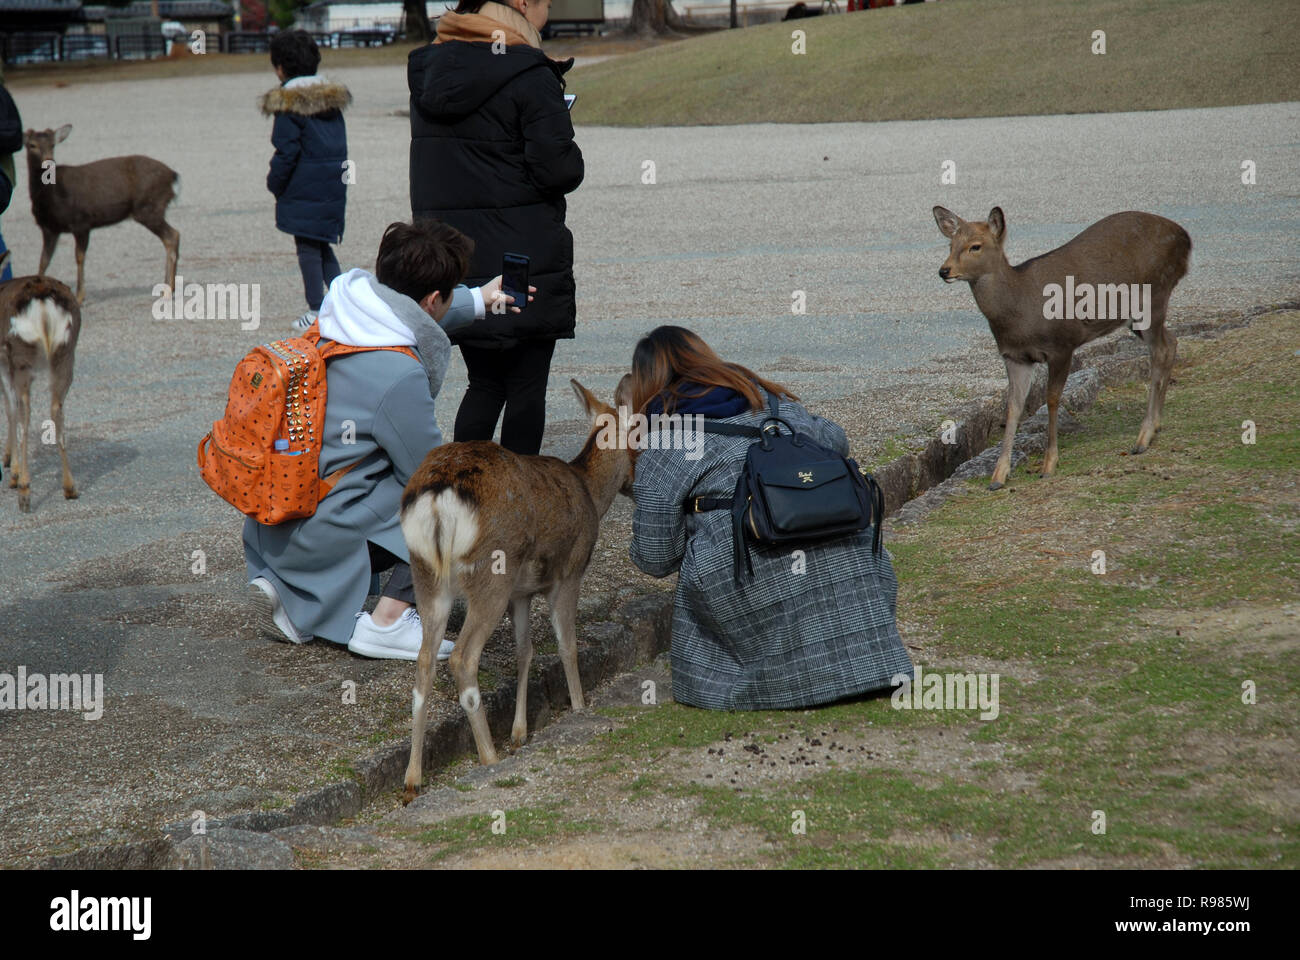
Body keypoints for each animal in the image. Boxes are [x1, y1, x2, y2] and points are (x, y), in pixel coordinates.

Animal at [0, 251, 81, 512]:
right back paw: (70, 487)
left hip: (21, 355)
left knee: (24, 412)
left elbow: (10, 409)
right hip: (66, 352)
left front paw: (12, 470)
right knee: (56, 407)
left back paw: (24, 491)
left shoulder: (3, 362)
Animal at [24, 124, 180, 303]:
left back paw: (168, 291)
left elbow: (79, 257)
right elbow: (43, 261)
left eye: (52, 145)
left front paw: (79, 297)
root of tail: (173, 176)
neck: (48, 194)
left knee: (173, 236)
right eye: (32, 145)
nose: (49, 162)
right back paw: (167, 289)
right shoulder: (49, 229)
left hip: (148, 208)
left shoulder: (81, 222)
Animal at [397, 374, 637, 790]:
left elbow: (525, 651)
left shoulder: (521, 594)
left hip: (426, 574)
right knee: (462, 657)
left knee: (425, 659)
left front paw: (519, 732)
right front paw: (579, 708)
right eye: (642, 434)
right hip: (492, 572)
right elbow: (567, 646)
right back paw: (488, 758)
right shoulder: (570, 571)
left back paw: (413, 778)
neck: (590, 491)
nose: (635, 482)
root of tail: (440, 494)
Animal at [930, 202, 1190, 486]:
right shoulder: (1015, 356)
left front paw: (1049, 464)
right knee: (1171, 342)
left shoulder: (1062, 344)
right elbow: (1013, 408)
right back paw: (1156, 425)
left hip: (1155, 295)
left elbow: (1052, 399)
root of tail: (1185, 238)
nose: (944, 271)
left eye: (975, 246)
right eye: (950, 244)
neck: (1020, 311)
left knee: (1160, 351)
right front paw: (999, 475)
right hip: (1135, 317)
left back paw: (1143, 437)